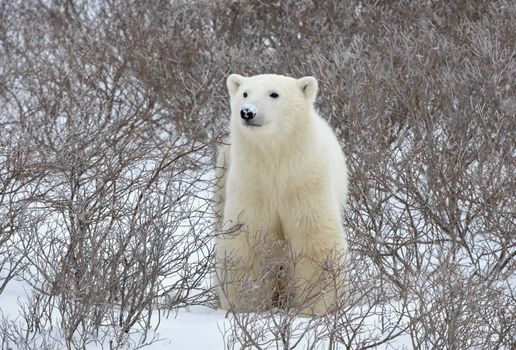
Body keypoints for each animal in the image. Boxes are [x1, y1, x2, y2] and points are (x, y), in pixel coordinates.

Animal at [212, 73, 348, 314]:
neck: (276, 158)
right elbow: (246, 239)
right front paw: (246, 303)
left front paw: (318, 304)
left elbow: (314, 237)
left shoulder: (305, 180)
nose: (247, 112)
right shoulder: (251, 183)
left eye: (274, 94)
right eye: (245, 93)